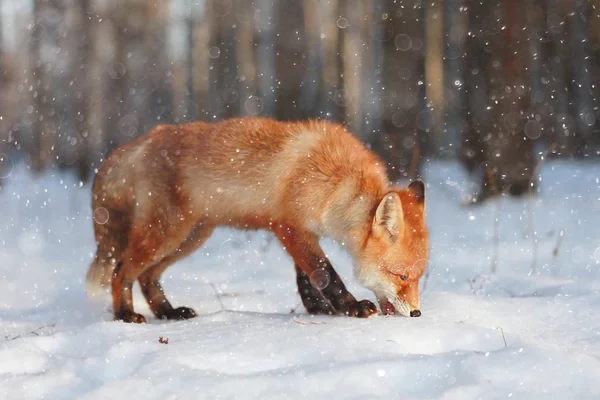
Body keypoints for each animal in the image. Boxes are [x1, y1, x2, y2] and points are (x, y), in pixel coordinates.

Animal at [86, 117, 428, 324]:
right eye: (401, 276)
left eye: (418, 277)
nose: (416, 313)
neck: (335, 181)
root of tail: (140, 141)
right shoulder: (289, 227)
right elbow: (324, 274)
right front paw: (349, 306)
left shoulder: (302, 232)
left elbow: (305, 278)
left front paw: (319, 309)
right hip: (167, 233)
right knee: (121, 271)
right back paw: (125, 315)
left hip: (190, 238)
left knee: (147, 276)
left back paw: (168, 312)